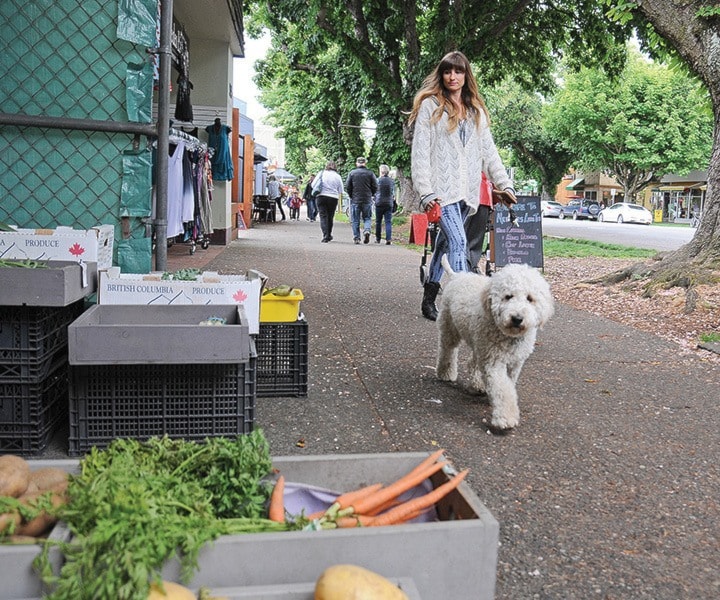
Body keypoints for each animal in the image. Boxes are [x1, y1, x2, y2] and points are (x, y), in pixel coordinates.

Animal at [434, 256, 556, 432]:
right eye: (508, 296)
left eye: (530, 298)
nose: (517, 318)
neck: (508, 335)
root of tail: (457, 276)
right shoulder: (493, 361)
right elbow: (503, 389)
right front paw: (506, 418)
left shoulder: (515, 363)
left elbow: (508, 383)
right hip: (450, 328)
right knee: (448, 350)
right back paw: (446, 373)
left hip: (479, 343)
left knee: (473, 362)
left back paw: (477, 385)